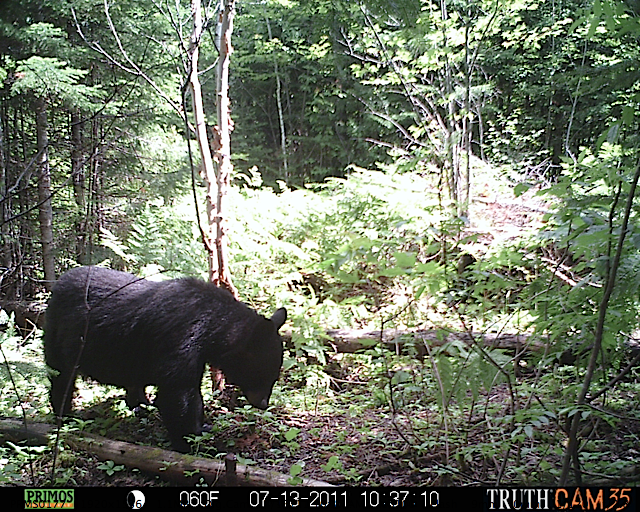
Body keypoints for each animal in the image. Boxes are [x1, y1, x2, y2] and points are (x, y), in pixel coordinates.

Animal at [45, 266, 284, 454]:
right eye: (263, 374)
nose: (263, 403)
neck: (210, 327)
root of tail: (57, 284)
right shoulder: (180, 340)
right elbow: (177, 395)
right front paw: (190, 442)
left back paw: (140, 405)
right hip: (58, 336)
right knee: (61, 377)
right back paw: (65, 415)